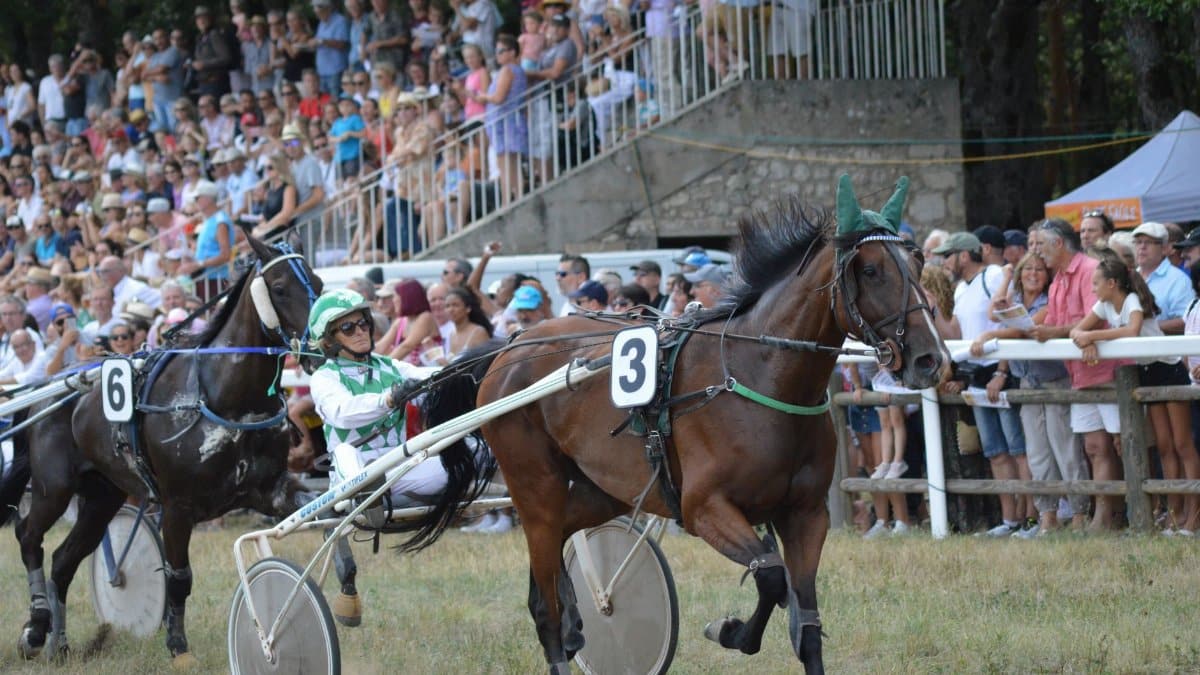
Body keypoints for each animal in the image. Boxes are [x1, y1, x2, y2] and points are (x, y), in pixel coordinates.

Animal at [10, 230, 322, 665]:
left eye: (319, 282)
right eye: (279, 288)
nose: (322, 344)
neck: (222, 397)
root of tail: (50, 386)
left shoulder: (269, 490)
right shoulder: (177, 507)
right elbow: (179, 578)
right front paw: (178, 646)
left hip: (103, 495)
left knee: (63, 560)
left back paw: (60, 642)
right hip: (53, 488)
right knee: (28, 536)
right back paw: (36, 628)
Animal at [415, 176, 949, 673]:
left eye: (919, 263)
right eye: (871, 269)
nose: (930, 359)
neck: (761, 374)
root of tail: (512, 346)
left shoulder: (806, 514)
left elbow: (808, 624)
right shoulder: (704, 507)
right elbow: (771, 576)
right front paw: (730, 631)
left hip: (604, 485)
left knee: (556, 546)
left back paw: (573, 621)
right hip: (535, 481)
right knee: (543, 586)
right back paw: (560, 627)